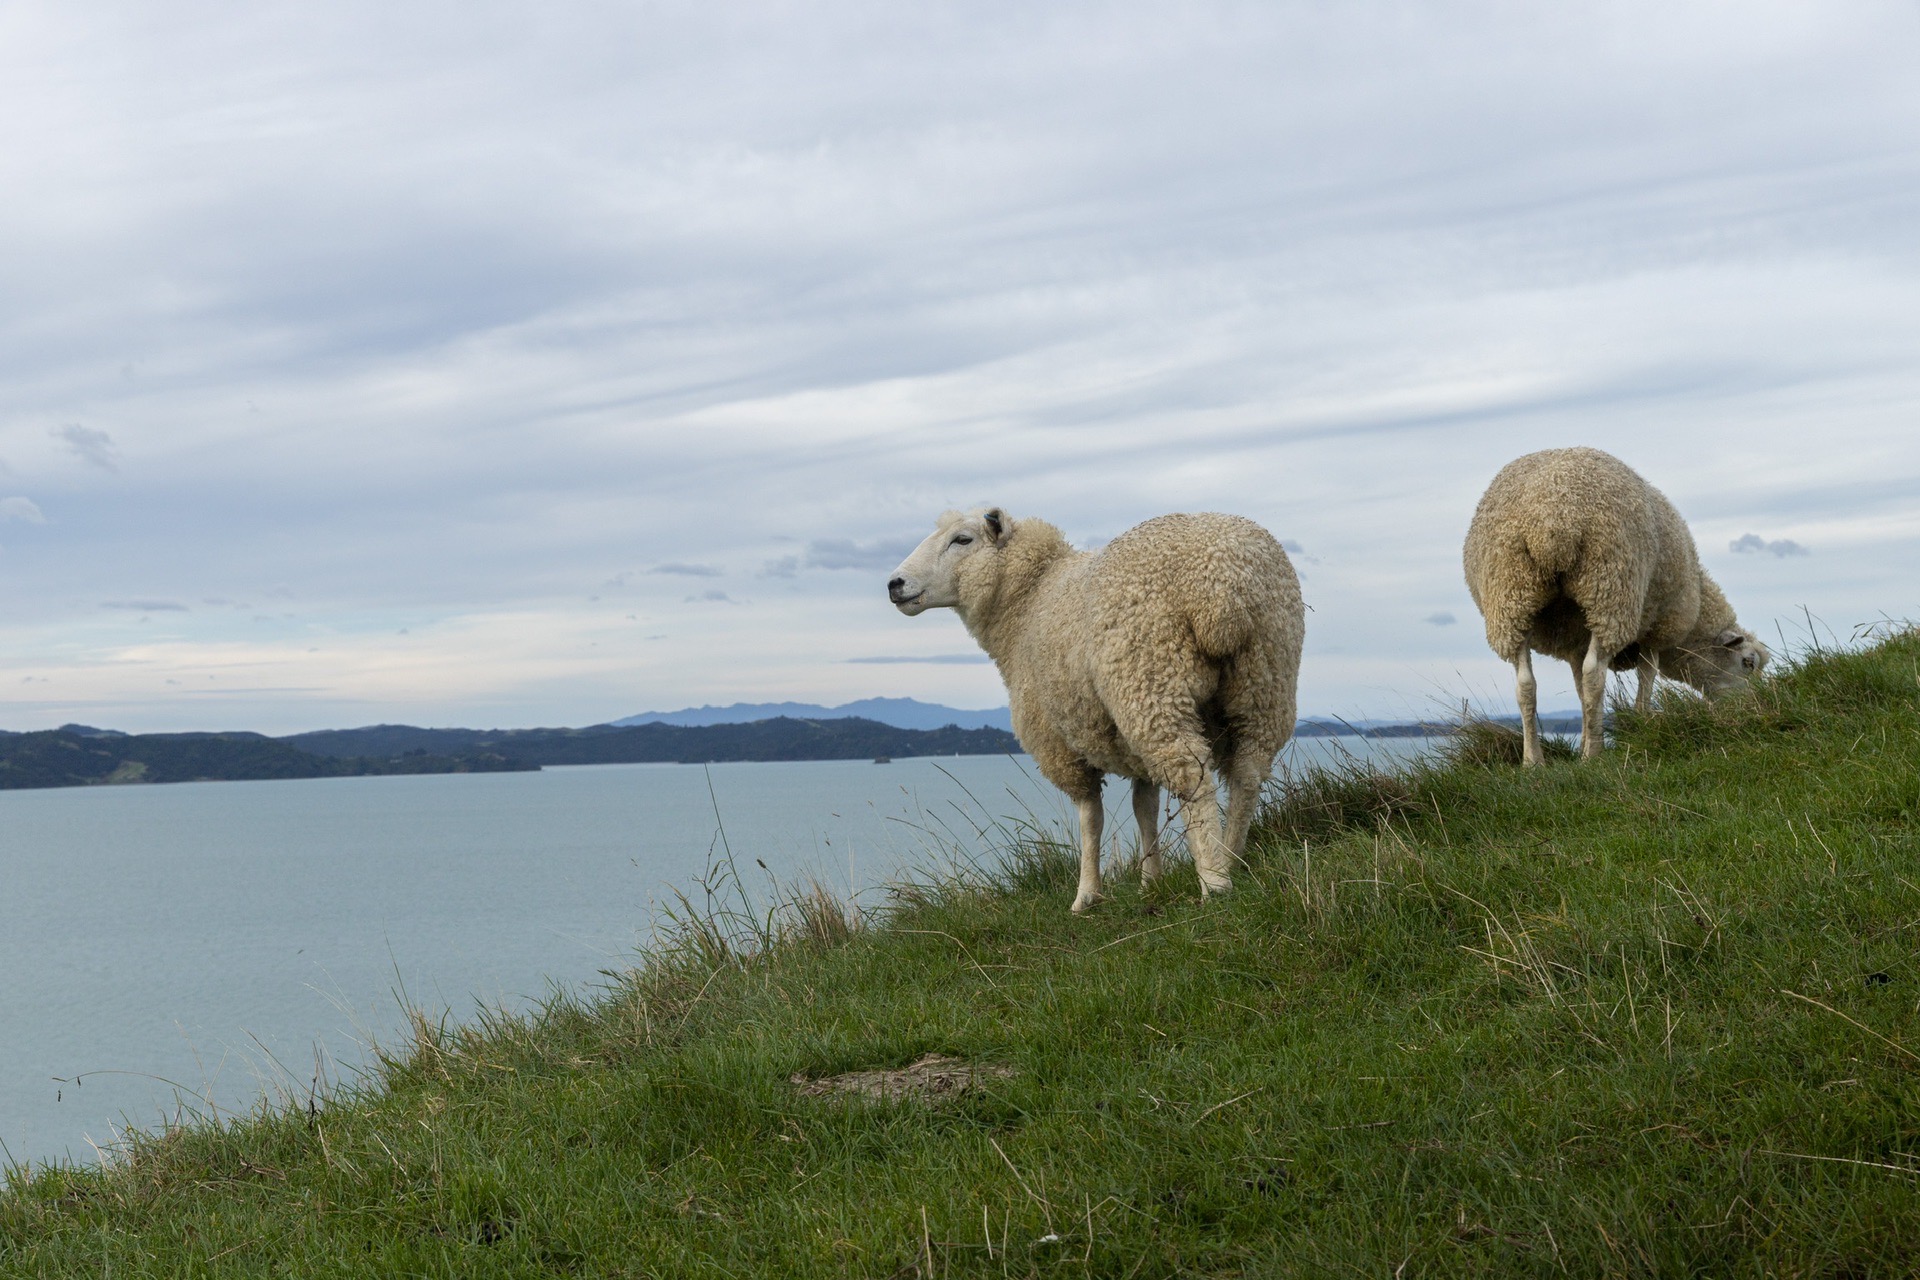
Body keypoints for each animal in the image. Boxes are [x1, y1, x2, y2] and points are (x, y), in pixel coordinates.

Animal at [883, 506, 1305, 917]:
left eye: (962, 539)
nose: (894, 584)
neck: (1029, 601)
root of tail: (1221, 580)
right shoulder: (1129, 743)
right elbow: (1144, 807)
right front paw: (1151, 880)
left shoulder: (1058, 743)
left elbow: (1090, 818)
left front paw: (1087, 895)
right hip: (1263, 680)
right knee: (1247, 775)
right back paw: (1232, 858)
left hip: (1150, 684)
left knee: (1192, 778)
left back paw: (1215, 883)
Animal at [1466, 445, 1766, 767]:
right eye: (1748, 662)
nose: (1754, 708)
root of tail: (1551, 520)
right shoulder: (1656, 628)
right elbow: (1646, 677)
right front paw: (1641, 723)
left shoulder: (1575, 643)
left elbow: (1580, 691)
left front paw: (1585, 739)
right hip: (1611, 591)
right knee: (1595, 674)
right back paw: (1594, 756)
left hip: (1511, 600)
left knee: (1526, 684)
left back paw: (1534, 762)